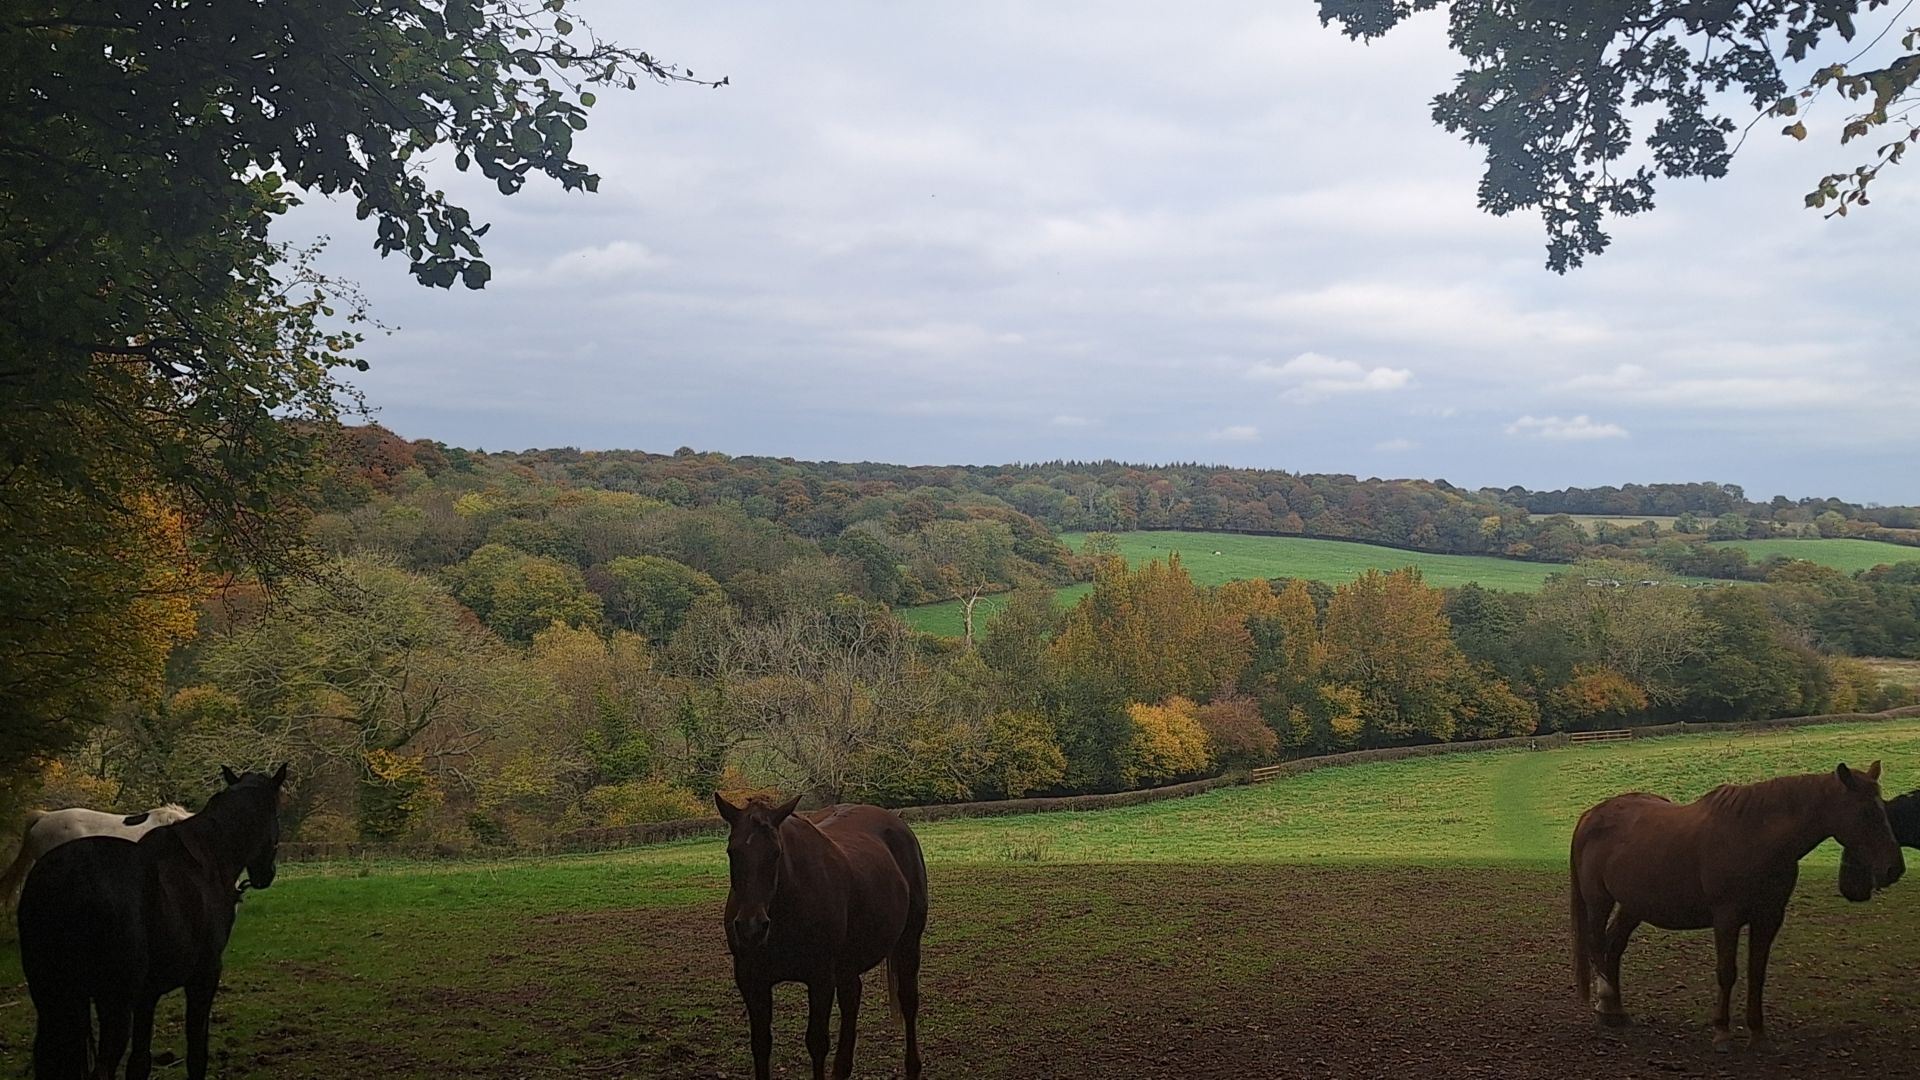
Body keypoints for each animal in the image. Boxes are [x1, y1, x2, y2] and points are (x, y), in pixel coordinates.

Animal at [716, 793, 929, 1080]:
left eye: (776, 853)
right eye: (732, 852)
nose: (752, 926)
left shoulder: (820, 979)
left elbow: (816, 1043)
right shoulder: (751, 980)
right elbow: (760, 1044)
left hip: (908, 944)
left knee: (908, 1001)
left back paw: (912, 1066)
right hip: (848, 964)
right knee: (852, 998)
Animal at [1570, 761, 1904, 1050]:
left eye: (1884, 808)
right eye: (1866, 812)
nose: (1894, 869)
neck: (1754, 836)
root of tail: (1592, 814)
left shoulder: (1768, 918)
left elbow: (1757, 973)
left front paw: (1758, 1034)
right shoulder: (1726, 919)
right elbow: (1727, 972)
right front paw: (1722, 1032)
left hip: (1633, 905)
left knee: (1613, 948)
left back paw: (1616, 1012)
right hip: (1599, 901)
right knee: (1597, 945)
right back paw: (1607, 1006)